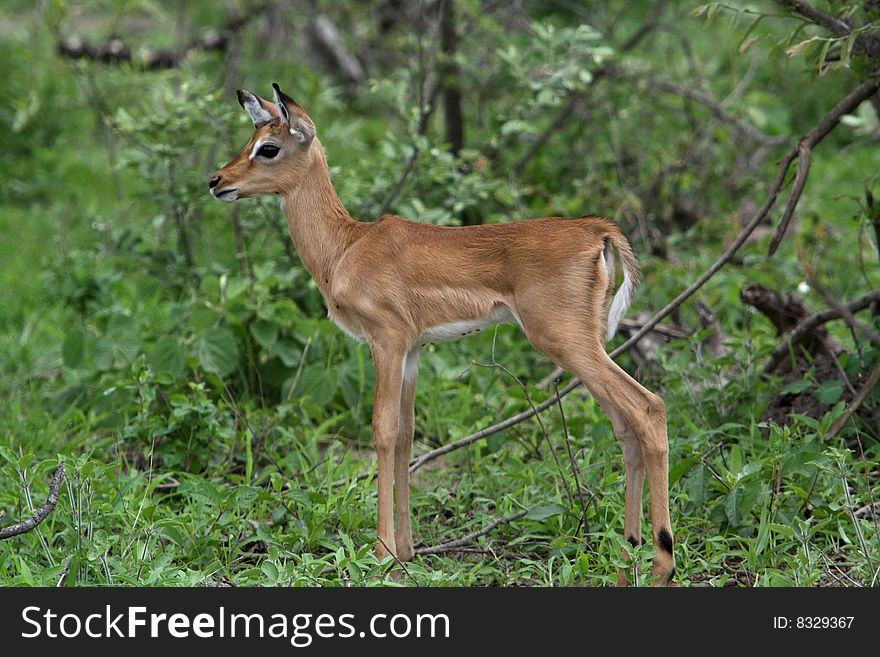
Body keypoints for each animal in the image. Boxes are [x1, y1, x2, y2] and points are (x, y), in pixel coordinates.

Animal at [210, 83, 676, 584]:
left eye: (268, 147)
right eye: (251, 138)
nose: (216, 181)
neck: (345, 248)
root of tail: (596, 230)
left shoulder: (387, 341)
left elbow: (382, 428)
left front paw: (381, 555)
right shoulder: (413, 351)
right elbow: (407, 434)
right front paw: (405, 553)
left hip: (566, 341)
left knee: (649, 408)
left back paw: (662, 563)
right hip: (586, 346)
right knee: (625, 427)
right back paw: (627, 559)